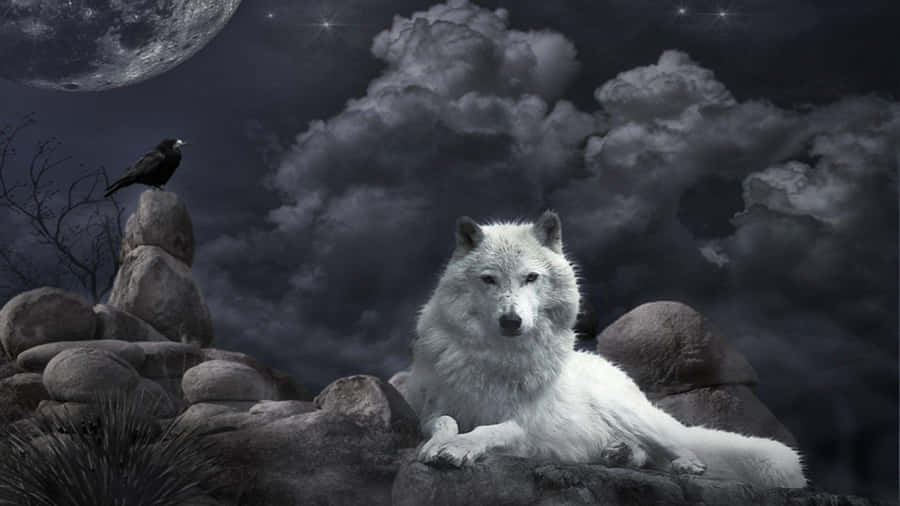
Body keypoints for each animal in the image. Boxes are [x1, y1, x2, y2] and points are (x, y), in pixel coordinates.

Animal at [404, 211, 806, 489]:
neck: (496, 358)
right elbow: (445, 422)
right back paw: (619, 453)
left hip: (631, 413)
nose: (511, 321)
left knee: (674, 446)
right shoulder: (431, 409)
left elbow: (489, 430)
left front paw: (458, 448)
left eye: (531, 277)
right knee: (646, 455)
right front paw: (437, 445)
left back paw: (684, 463)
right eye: (489, 279)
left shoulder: (524, 425)